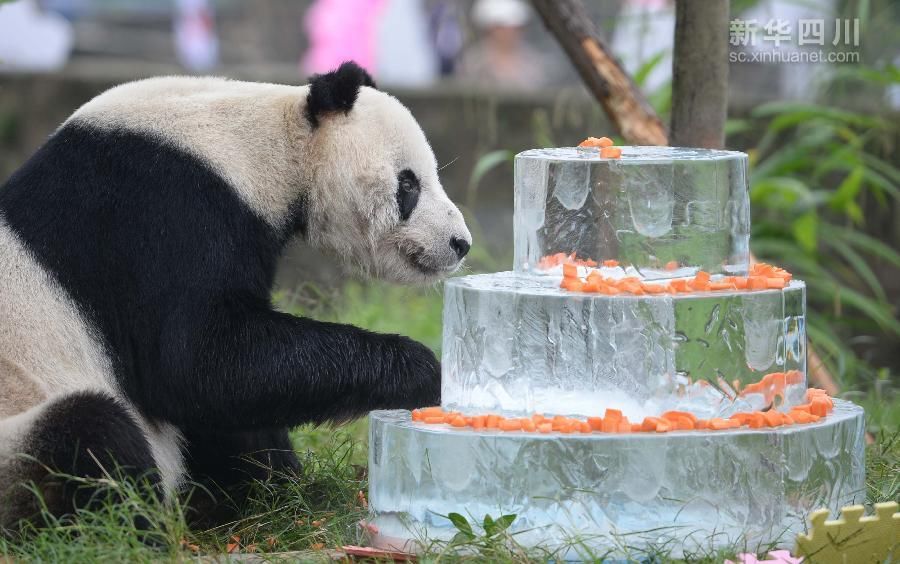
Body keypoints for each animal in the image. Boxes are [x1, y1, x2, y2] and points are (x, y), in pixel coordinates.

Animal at [0, 59, 474, 528]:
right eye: (408, 184)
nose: (460, 244)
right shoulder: (163, 210)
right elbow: (200, 361)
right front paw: (423, 371)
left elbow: (232, 395)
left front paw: (281, 486)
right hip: (21, 435)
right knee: (89, 436)